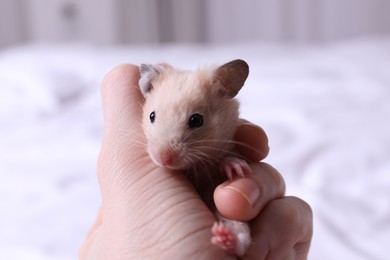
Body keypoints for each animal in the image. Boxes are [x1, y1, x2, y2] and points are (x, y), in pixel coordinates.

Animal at [139, 59, 251, 256]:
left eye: (196, 120)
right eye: (152, 116)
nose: (163, 159)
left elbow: (227, 160)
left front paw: (237, 168)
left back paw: (226, 237)